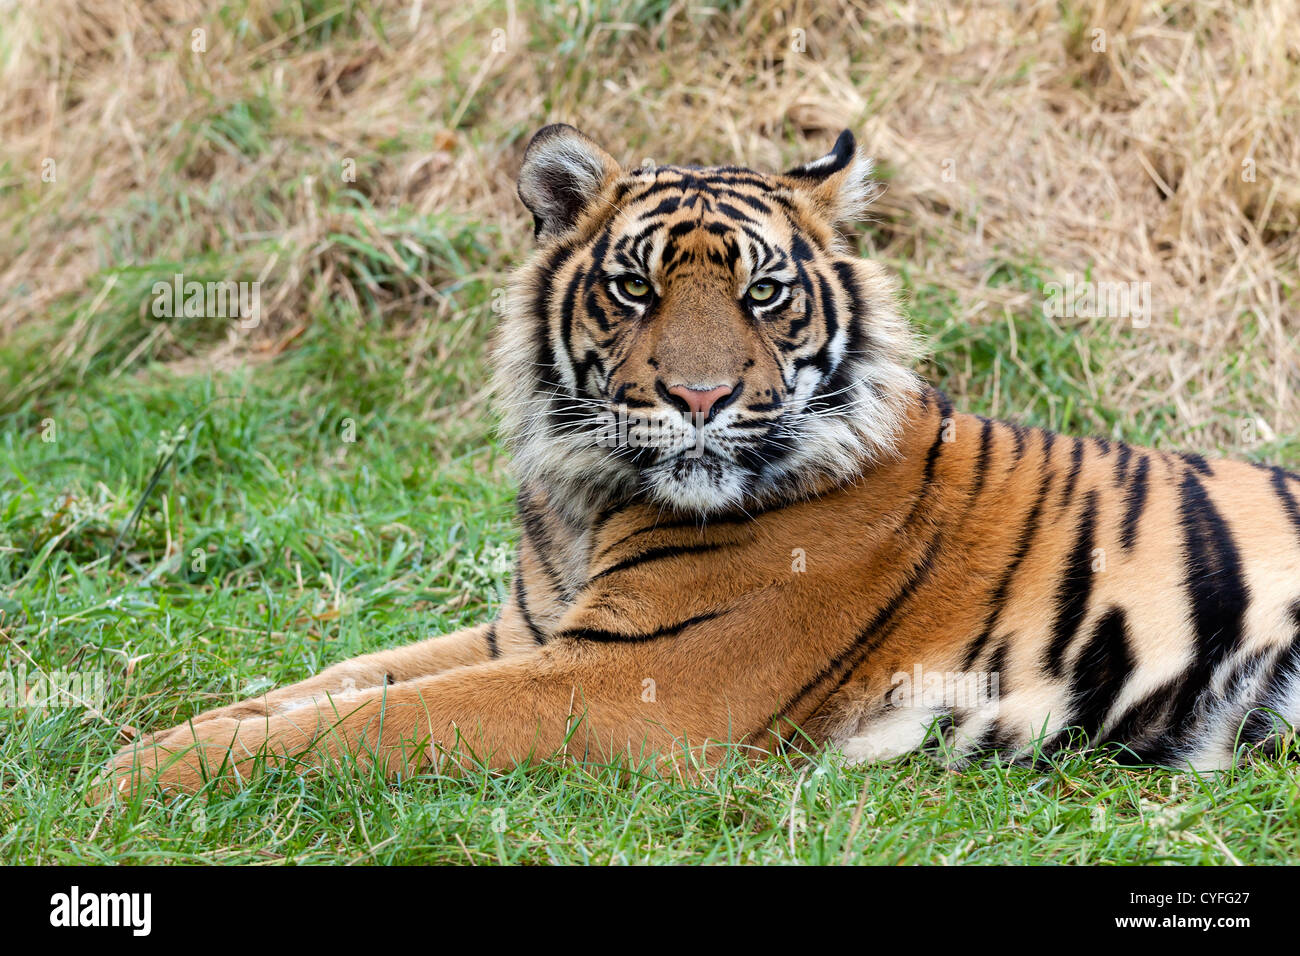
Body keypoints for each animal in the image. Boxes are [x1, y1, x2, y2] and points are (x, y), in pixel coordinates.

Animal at [98, 125, 1300, 801]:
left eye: (764, 293)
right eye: (635, 288)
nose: (700, 399)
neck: (585, 499)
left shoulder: (636, 681)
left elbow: (387, 718)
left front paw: (139, 776)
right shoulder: (526, 632)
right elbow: (332, 682)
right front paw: (165, 732)